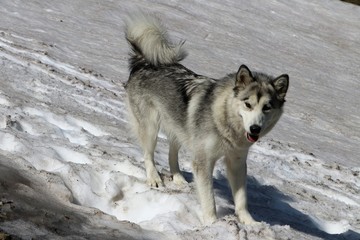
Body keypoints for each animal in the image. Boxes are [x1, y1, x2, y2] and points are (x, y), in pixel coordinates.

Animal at [124, 12, 290, 224]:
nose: (255, 129)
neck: (225, 121)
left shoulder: (236, 162)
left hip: (179, 130)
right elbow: (209, 199)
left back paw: (179, 179)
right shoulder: (203, 162)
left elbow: (241, 199)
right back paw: (154, 179)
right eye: (248, 104)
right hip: (151, 128)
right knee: (148, 155)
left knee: (172, 154)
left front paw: (249, 223)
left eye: (267, 107)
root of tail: (145, 61)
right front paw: (212, 223)